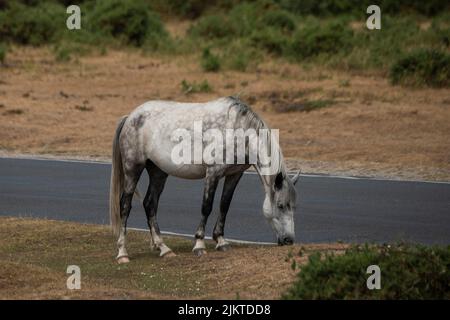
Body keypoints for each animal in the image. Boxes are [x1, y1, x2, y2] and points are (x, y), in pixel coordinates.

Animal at [109, 96, 298, 264]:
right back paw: (122, 253)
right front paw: (199, 244)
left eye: (294, 206)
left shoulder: (234, 175)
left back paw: (164, 248)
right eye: (281, 205)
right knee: (125, 205)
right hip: (133, 169)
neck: (237, 131)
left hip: (158, 172)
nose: (289, 240)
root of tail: (130, 117)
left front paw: (221, 241)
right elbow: (206, 207)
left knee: (150, 204)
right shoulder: (212, 173)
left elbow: (224, 205)